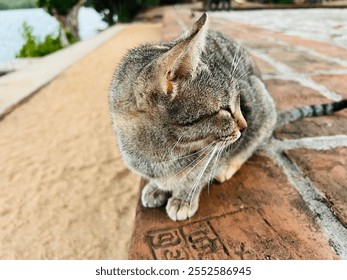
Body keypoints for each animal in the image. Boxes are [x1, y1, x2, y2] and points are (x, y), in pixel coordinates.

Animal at [109, 13, 347, 221]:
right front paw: (157, 187)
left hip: (264, 103)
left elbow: (198, 175)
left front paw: (184, 197)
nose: (244, 125)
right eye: (224, 109)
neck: (162, 155)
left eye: (239, 101)